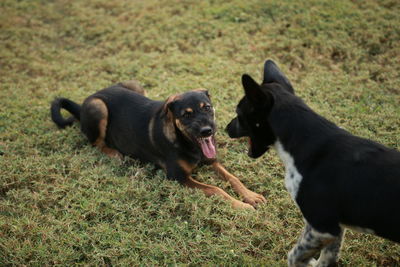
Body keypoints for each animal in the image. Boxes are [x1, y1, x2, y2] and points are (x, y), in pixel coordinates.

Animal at [50, 80, 266, 210]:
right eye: (186, 115)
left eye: (207, 108)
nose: (207, 131)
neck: (187, 142)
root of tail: (85, 102)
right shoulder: (178, 178)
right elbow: (216, 189)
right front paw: (242, 206)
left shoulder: (211, 161)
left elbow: (233, 178)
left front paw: (251, 196)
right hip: (98, 106)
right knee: (95, 142)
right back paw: (113, 153)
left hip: (134, 85)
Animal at [227, 61, 398, 267]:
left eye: (238, 113)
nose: (226, 128)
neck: (303, 138)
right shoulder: (334, 228)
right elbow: (326, 257)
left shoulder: (322, 226)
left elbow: (294, 255)